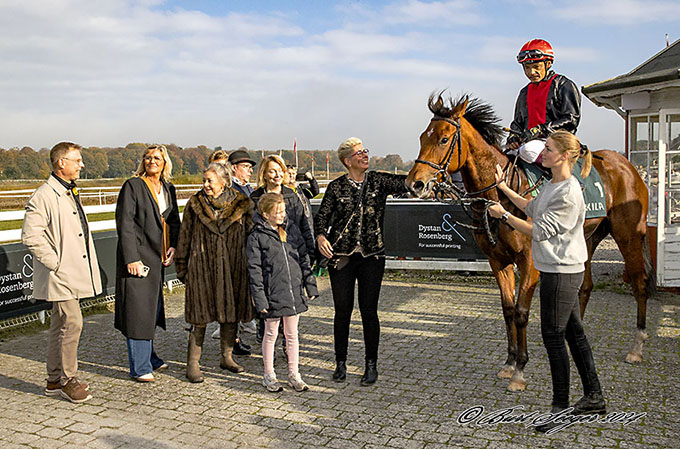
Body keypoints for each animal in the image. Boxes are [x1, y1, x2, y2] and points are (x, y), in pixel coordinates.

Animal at [406, 93, 656, 390]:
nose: (414, 184)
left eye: (444, 139)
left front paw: (520, 370)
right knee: (584, 287)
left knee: (640, 283)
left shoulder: (529, 261)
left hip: (629, 235)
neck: (502, 193)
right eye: (422, 137)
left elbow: (522, 311)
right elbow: (508, 310)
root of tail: (627, 166)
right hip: (587, 239)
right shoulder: (497, 260)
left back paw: (637, 347)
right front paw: (509, 362)